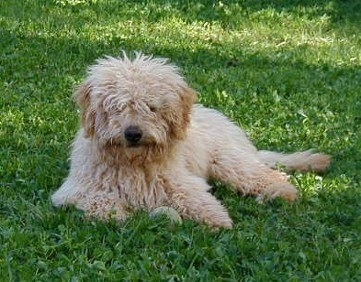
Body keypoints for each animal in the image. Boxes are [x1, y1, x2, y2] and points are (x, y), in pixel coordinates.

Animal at [52, 52, 330, 229]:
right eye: (117, 107)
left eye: (151, 107)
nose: (133, 134)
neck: (133, 162)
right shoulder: (75, 191)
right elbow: (100, 201)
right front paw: (119, 215)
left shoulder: (179, 180)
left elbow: (192, 196)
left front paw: (217, 219)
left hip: (230, 163)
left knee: (273, 176)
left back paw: (278, 193)